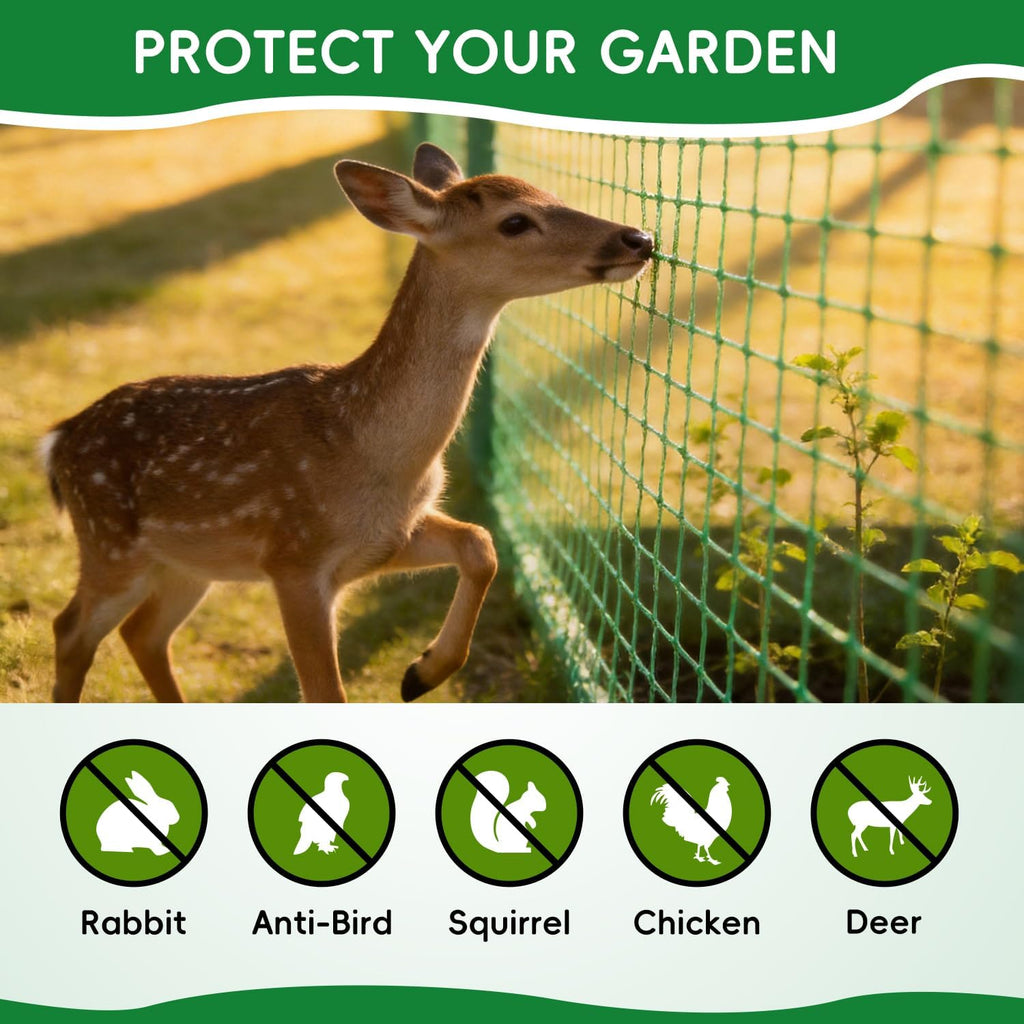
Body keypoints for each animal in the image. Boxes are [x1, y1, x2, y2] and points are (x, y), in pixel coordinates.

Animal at [41, 143, 654, 703]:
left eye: (552, 195)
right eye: (515, 221)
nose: (639, 239)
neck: (371, 450)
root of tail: (58, 439)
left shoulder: (386, 537)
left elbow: (480, 543)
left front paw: (422, 672)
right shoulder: (294, 558)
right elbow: (324, 694)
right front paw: (419, 671)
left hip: (187, 564)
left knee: (143, 633)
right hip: (110, 545)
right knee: (71, 629)